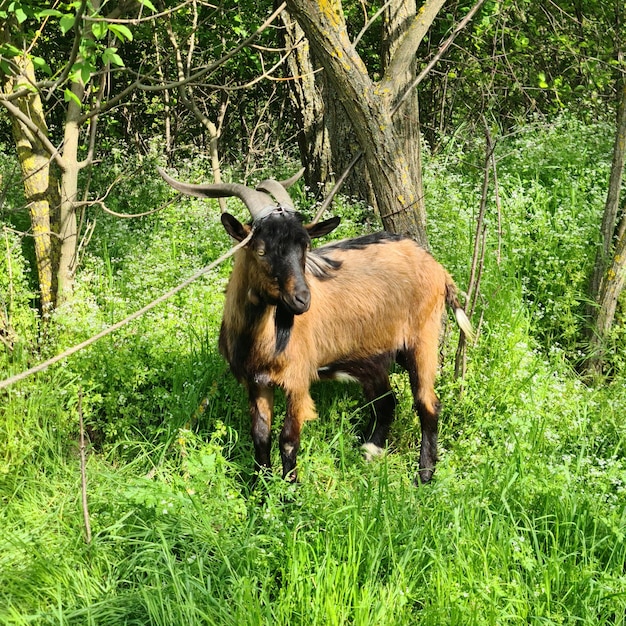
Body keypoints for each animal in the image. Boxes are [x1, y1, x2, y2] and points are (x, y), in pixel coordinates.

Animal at [158, 166, 470, 482]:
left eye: (304, 247)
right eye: (260, 250)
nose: (302, 299)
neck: (260, 338)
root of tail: (437, 268)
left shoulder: (297, 380)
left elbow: (288, 439)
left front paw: (289, 491)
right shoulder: (256, 383)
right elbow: (260, 436)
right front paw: (260, 490)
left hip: (422, 339)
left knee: (427, 403)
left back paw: (424, 476)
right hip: (371, 355)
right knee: (385, 401)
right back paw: (371, 452)